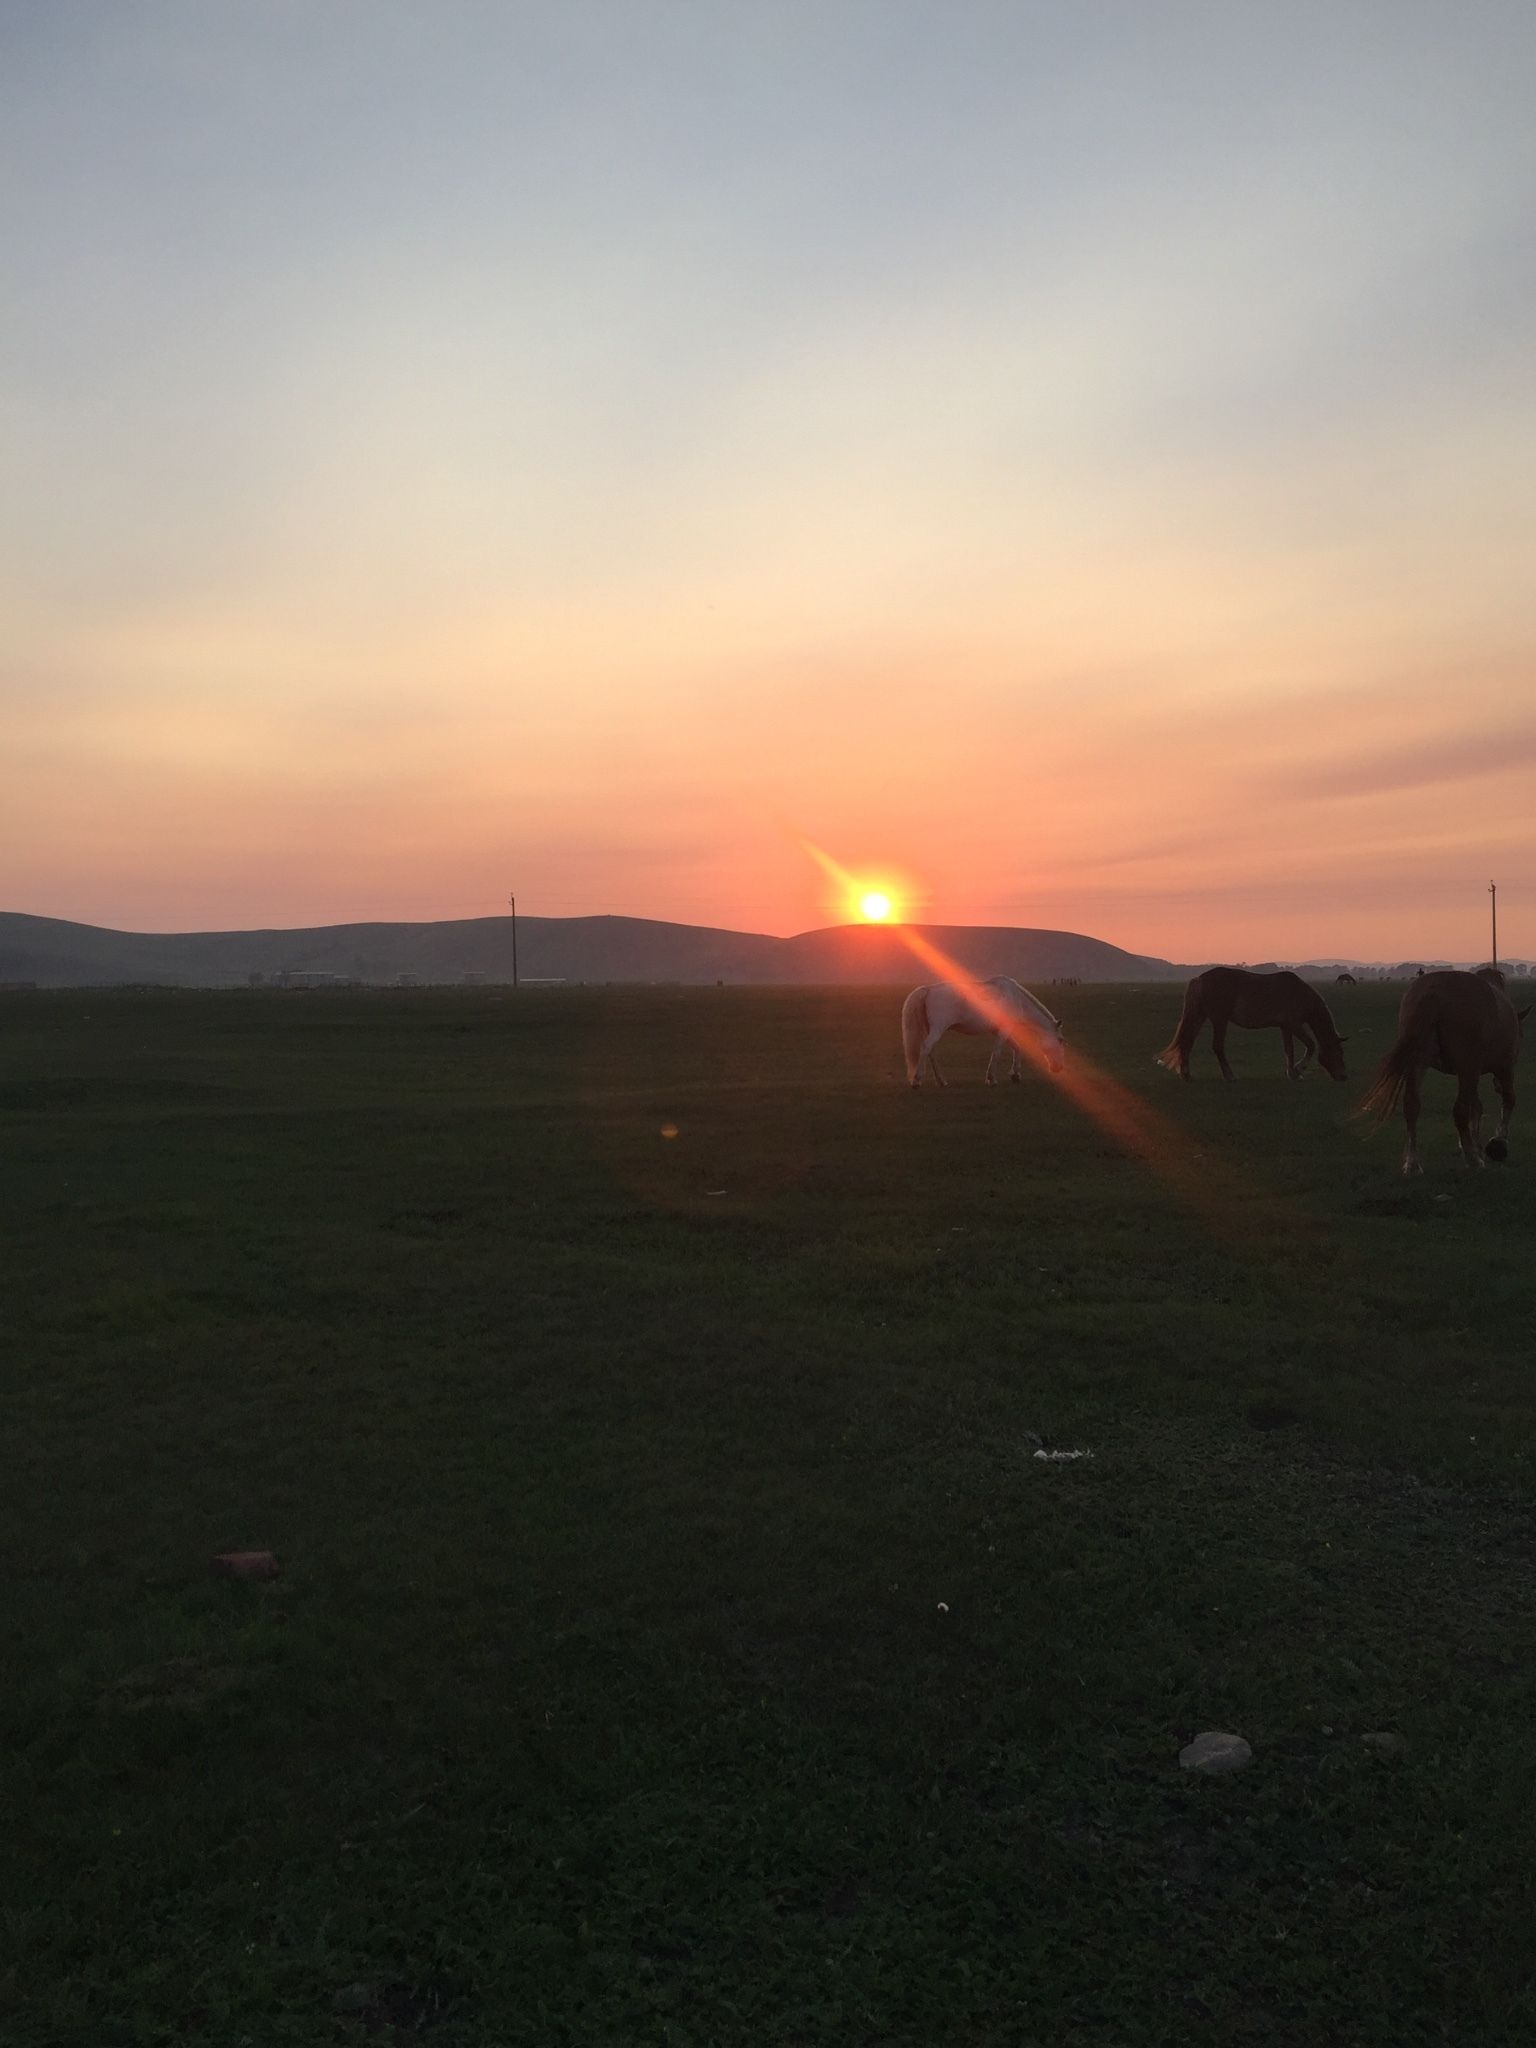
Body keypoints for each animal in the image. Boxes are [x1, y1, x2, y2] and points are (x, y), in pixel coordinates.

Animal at [901, 974, 1073, 1089]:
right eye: (1060, 1040)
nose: (1058, 1067)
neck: (1016, 999)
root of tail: (928, 990)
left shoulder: (999, 1031)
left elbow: (1016, 1048)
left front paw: (1015, 1075)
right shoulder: (1004, 1031)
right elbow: (997, 1052)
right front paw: (992, 1079)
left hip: (931, 1029)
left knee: (931, 1051)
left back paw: (941, 1081)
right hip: (938, 1028)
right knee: (926, 1048)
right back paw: (917, 1080)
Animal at [1163, 962, 1351, 1081]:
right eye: (1339, 1053)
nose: (1343, 1076)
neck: (1299, 994)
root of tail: (1200, 979)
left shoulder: (1285, 1027)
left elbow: (1289, 1050)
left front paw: (1292, 1073)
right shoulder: (1294, 1025)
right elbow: (1311, 1045)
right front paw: (1299, 1069)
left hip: (1201, 1016)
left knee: (1187, 1043)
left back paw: (1187, 1075)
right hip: (1219, 1019)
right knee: (1217, 1046)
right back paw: (1229, 1076)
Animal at [1359, 970, 1531, 1179]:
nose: (1495, 1085)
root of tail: (1434, 991)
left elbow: (1478, 1106)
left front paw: (1476, 1144)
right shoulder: (1503, 1068)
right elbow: (1508, 1100)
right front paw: (1497, 1143)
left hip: (1419, 1063)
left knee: (1411, 1106)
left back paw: (1413, 1163)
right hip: (1467, 1066)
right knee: (1460, 1109)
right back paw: (1472, 1160)